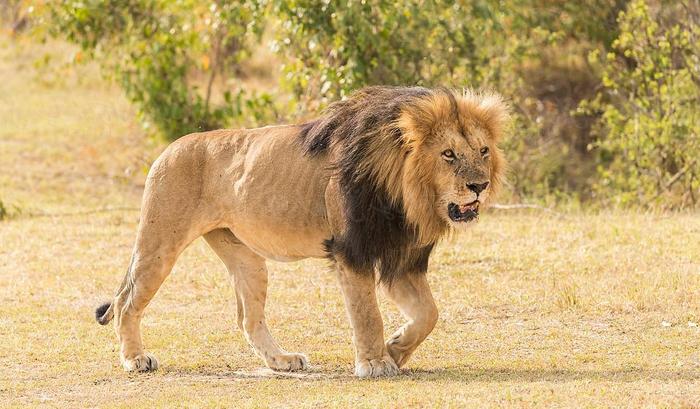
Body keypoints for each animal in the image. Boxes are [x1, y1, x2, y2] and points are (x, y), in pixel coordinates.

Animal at [94, 85, 508, 376]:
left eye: (483, 151)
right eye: (448, 154)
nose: (479, 185)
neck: (406, 194)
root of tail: (170, 147)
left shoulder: (401, 259)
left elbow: (428, 314)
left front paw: (394, 348)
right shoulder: (351, 251)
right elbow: (367, 313)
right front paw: (375, 363)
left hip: (246, 258)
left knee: (248, 319)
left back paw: (281, 360)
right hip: (160, 243)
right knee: (127, 303)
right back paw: (136, 360)